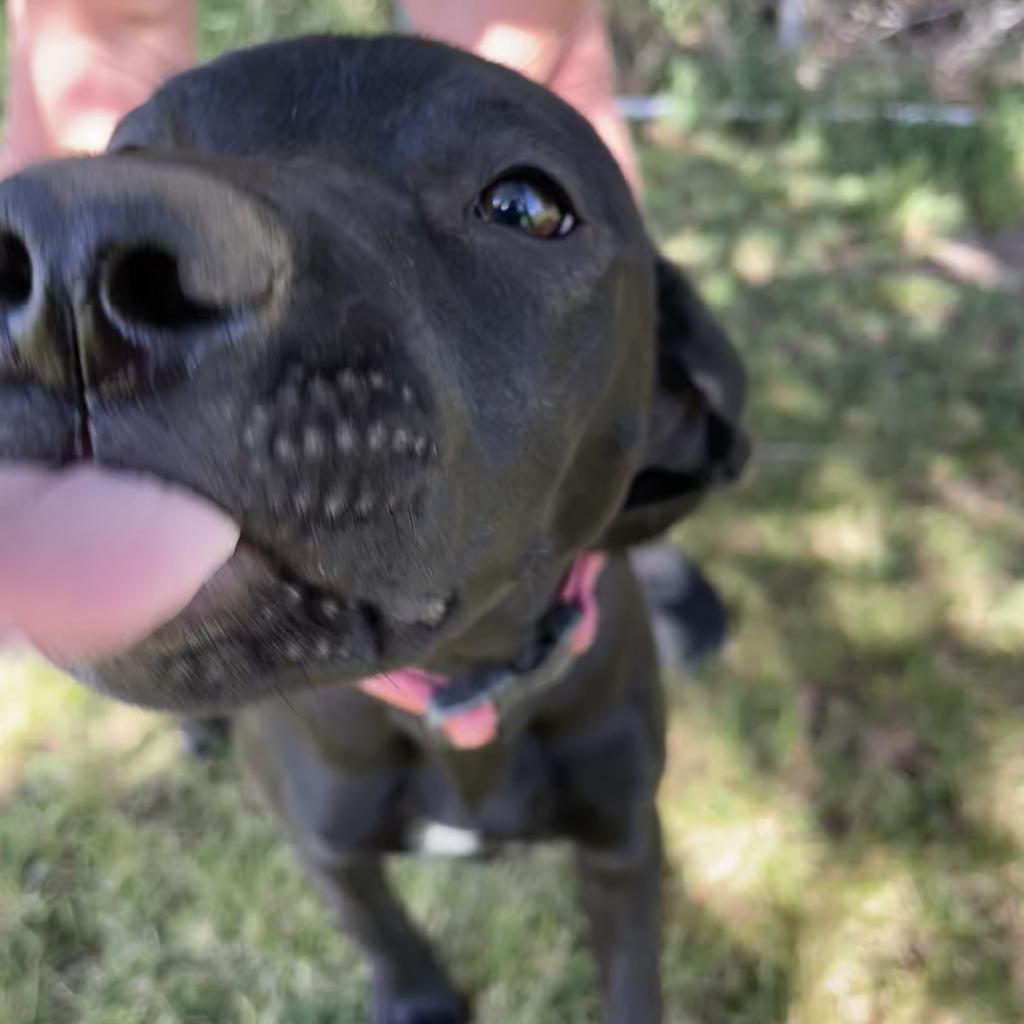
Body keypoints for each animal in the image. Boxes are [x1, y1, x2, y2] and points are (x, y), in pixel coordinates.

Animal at [2, 36, 753, 1024]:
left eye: (526, 205)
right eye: (126, 152)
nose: (67, 256)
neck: (465, 693)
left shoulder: (625, 839)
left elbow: (631, 974)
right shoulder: (327, 843)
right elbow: (380, 928)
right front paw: (419, 996)